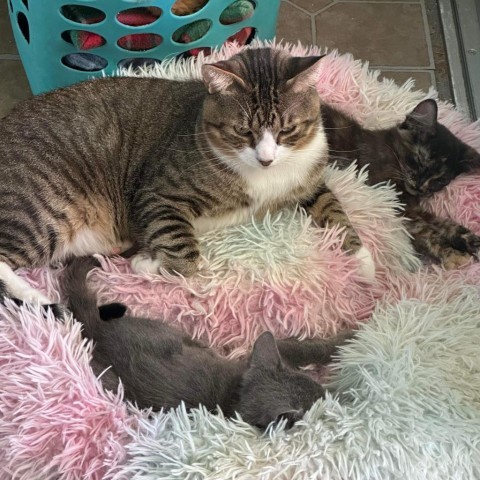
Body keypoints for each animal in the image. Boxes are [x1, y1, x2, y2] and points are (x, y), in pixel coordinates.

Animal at [0, 47, 374, 304]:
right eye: (243, 131)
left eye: (287, 130)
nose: (266, 159)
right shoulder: (158, 195)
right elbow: (186, 258)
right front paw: (148, 265)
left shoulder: (309, 180)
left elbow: (334, 209)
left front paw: (364, 263)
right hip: (40, 207)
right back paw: (38, 299)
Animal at [61, 256, 352, 430]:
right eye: (319, 401)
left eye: (315, 385)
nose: (328, 393)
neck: (232, 399)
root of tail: (97, 330)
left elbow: (301, 347)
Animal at [320, 99, 480, 268]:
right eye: (419, 161)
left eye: (440, 180)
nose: (420, 186)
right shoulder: (400, 207)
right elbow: (428, 233)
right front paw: (452, 255)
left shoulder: (413, 208)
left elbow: (442, 222)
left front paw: (469, 239)